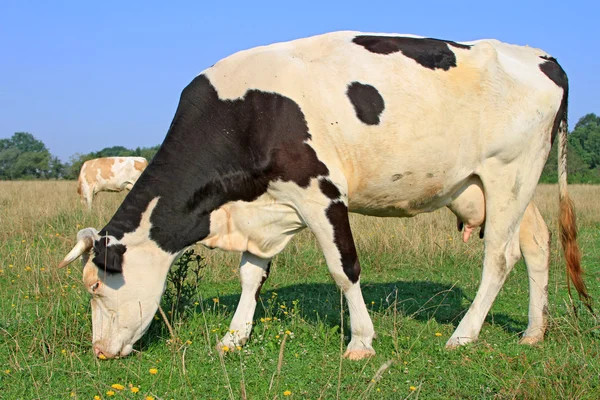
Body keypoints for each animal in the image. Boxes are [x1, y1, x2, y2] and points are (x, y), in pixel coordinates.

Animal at [57, 31, 592, 360]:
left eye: (96, 287)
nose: (99, 352)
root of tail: (540, 55)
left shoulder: (321, 193)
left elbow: (344, 268)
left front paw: (361, 342)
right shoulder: (267, 207)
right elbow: (251, 274)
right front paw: (234, 336)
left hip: (509, 173)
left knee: (498, 257)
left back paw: (463, 335)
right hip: (504, 183)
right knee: (536, 242)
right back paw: (533, 332)